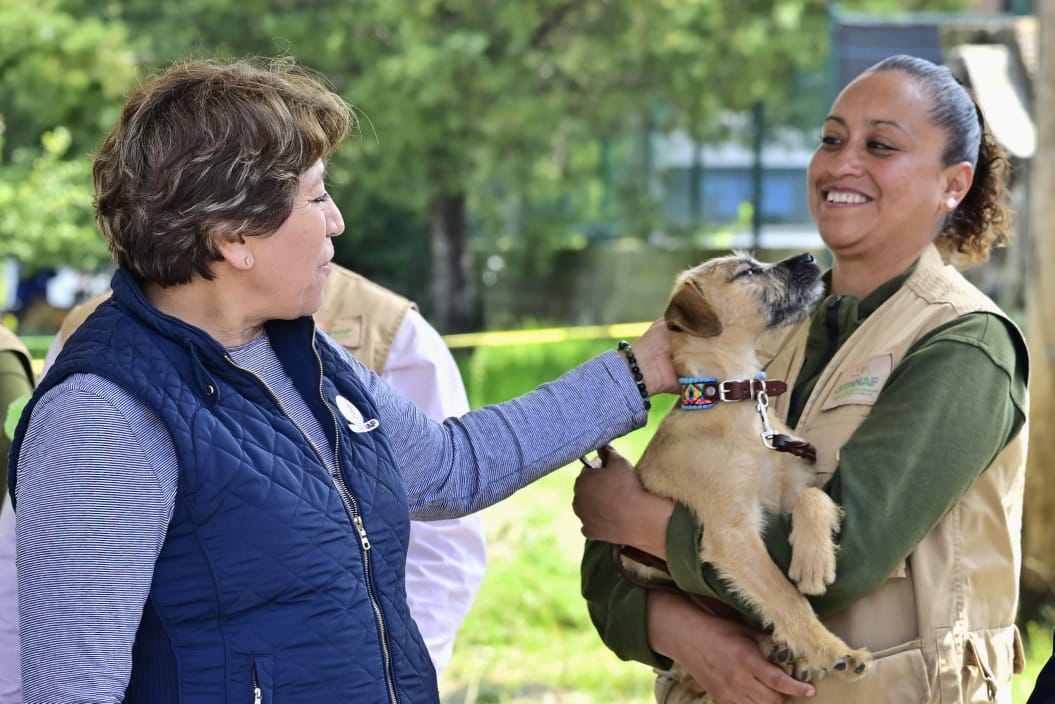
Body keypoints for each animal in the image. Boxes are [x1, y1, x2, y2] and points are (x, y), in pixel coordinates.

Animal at [628, 249, 869, 692]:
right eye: (746, 272)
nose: (810, 255)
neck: (735, 403)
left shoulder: (788, 491)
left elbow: (815, 497)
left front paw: (814, 561)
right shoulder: (732, 532)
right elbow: (786, 598)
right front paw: (834, 651)